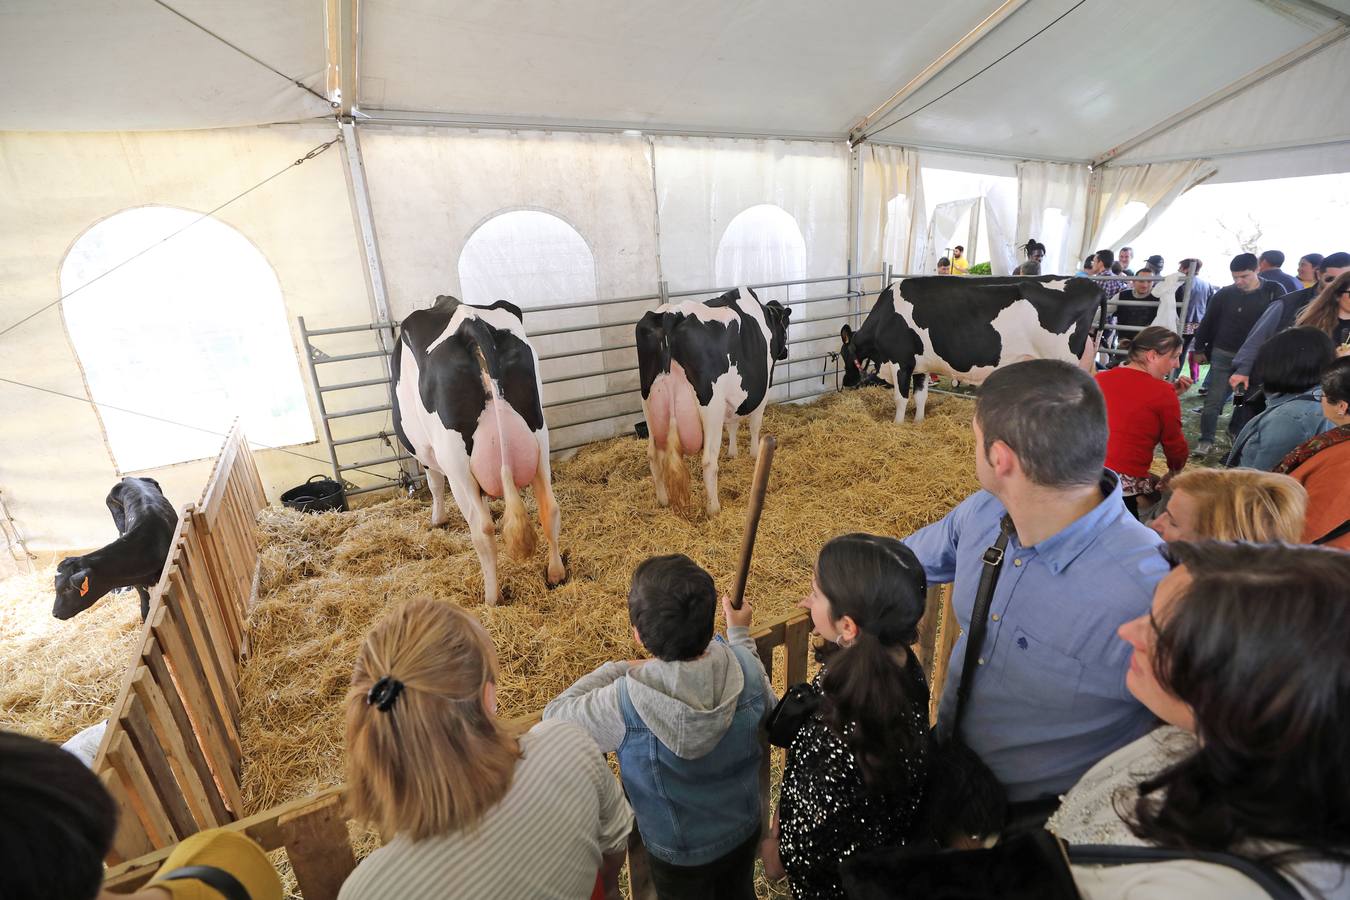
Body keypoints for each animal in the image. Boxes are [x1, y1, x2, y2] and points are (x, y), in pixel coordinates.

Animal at [391, 295, 564, 604]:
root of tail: (469, 321)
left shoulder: (427, 454)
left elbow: (434, 484)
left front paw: (437, 520)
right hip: (539, 438)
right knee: (550, 508)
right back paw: (556, 574)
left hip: (457, 465)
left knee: (482, 530)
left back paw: (491, 598)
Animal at [634, 288, 788, 512]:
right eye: (786, 324)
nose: (785, 352)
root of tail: (670, 314)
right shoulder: (763, 391)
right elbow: (754, 425)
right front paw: (754, 454)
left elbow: (732, 424)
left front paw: (733, 453)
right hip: (711, 407)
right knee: (708, 461)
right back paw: (714, 508)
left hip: (649, 404)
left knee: (654, 455)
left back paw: (662, 501)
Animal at [842, 277, 1107, 423]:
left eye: (845, 355)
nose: (845, 383)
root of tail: (1091, 286)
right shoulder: (920, 364)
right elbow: (921, 396)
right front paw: (918, 422)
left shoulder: (900, 361)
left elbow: (901, 398)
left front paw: (897, 426)